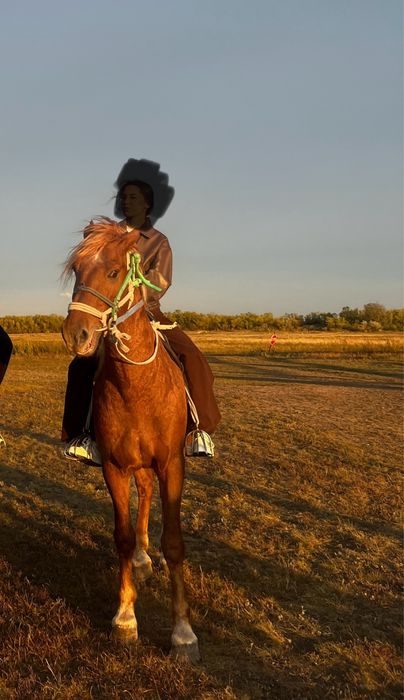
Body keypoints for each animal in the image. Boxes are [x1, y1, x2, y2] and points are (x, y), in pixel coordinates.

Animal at [62, 218, 200, 661]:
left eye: (112, 272)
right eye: (76, 272)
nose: (76, 334)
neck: (137, 386)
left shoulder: (172, 464)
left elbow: (173, 543)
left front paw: (183, 634)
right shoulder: (115, 466)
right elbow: (121, 536)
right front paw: (124, 618)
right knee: (143, 495)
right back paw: (141, 558)